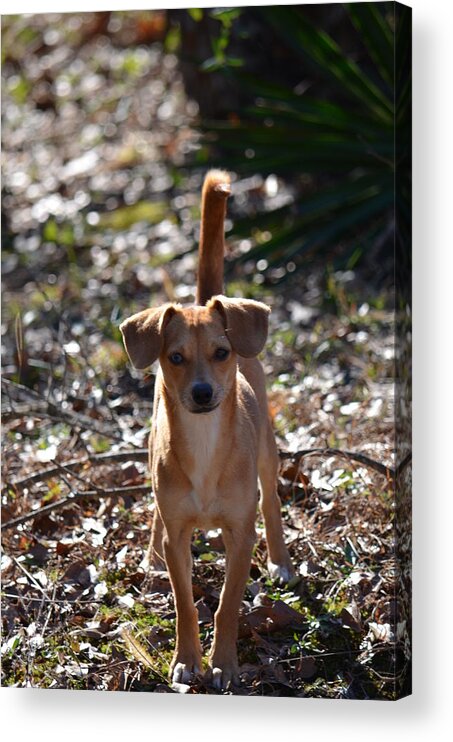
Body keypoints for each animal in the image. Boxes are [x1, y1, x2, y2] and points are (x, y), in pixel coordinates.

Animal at [120, 170, 294, 692]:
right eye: (174, 357)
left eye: (221, 353)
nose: (200, 393)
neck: (203, 443)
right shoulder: (180, 532)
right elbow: (184, 602)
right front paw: (187, 658)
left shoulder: (240, 533)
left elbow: (228, 605)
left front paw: (226, 663)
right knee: (158, 518)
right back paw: (151, 557)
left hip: (267, 456)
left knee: (272, 502)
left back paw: (281, 561)